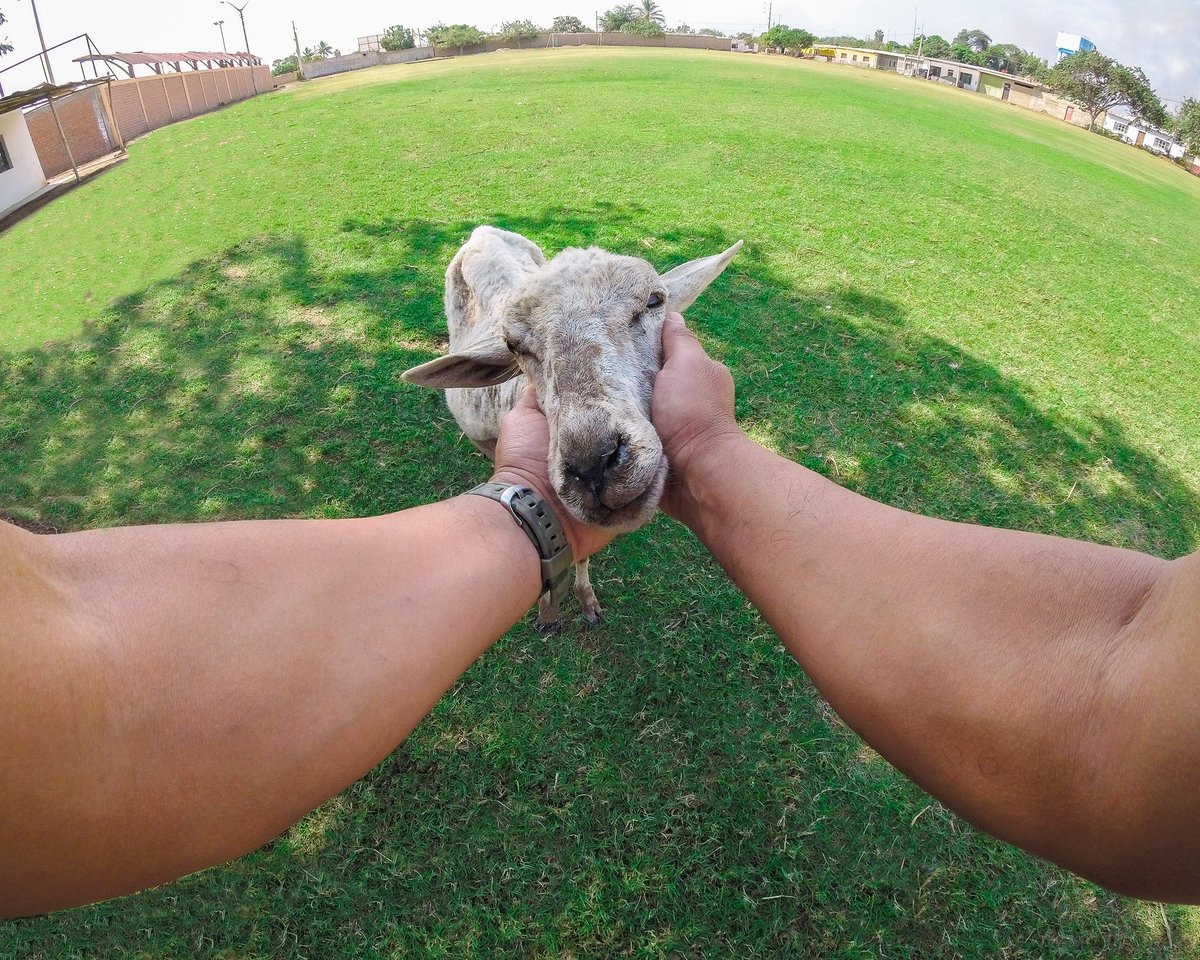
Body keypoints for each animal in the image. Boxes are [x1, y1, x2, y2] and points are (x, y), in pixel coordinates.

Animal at [402, 225, 742, 628]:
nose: (593, 464)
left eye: (654, 300)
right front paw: (550, 608)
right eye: (513, 345)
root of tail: (483, 231)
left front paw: (586, 599)